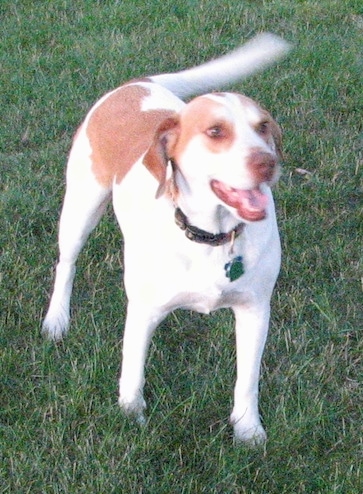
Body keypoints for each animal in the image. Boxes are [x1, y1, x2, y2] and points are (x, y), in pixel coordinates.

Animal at [43, 33, 290, 444]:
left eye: (263, 127)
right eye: (216, 131)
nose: (266, 163)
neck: (211, 235)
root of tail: (136, 85)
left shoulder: (255, 309)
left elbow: (247, 381)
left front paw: (247, 429)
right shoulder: (143, 312)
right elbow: (133, 375)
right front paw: (131, 421)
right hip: (81, 206)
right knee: (67, 263)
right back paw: (57, 318)